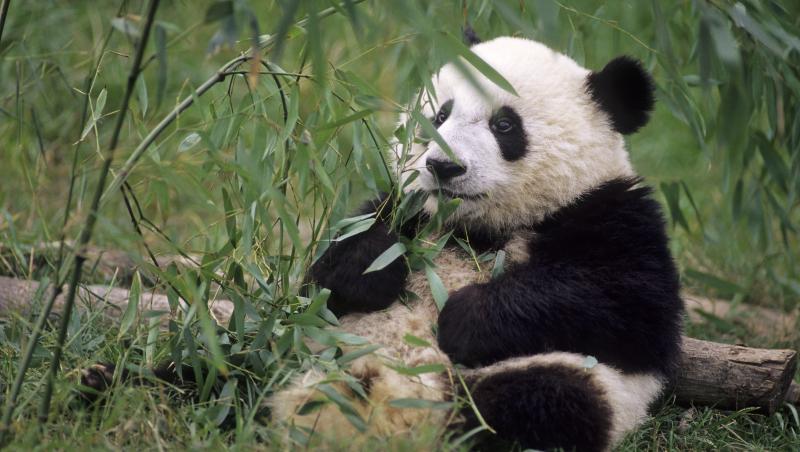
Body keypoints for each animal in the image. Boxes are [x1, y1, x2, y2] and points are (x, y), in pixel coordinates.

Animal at [269, 36, 684, 451]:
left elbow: (626, 305)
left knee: (544, 400)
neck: (476, 229)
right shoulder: (407, 212)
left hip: (565, 380)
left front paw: (463, 316)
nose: (443, 166)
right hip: (314, 344)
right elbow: (324, 279)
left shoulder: (614, 214)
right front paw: (375, 267)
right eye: (440, 115)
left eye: (504, 125)